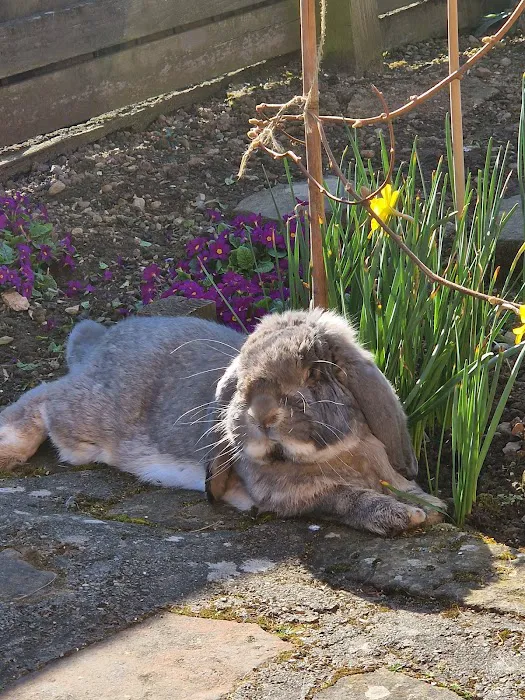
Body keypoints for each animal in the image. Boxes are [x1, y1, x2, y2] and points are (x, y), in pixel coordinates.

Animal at [0, 310, 445, 535]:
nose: (262, 413)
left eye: (316, 372)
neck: (339, 454)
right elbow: (343, 498)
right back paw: (9, 450)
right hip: (88, 418)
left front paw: (431, 507)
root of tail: (98, 344)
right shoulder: (285, 495)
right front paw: (403, 517)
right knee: (44, 397)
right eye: (244, 372)